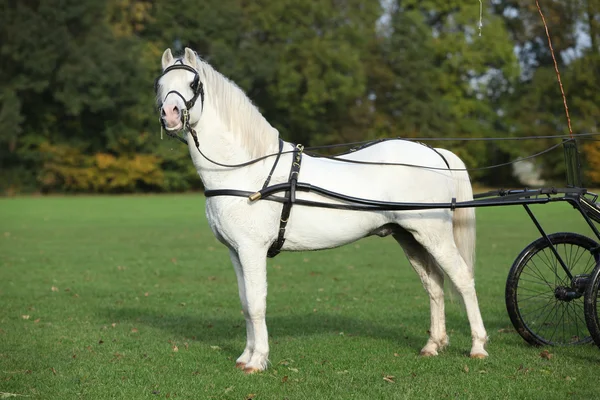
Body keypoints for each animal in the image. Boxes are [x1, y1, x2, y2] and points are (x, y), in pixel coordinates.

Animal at [156, 48, 488, 374]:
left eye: (193, 84)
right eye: (160, 85)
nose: (169, 114)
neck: (246, 171)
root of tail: (433, 153)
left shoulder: (252, 249)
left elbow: (257, 303)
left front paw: (257, 360)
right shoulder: (235, 252)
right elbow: (245, 303)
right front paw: (244, 356)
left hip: (435, 235)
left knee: (463, 279)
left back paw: (478, 346)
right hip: (409, 237)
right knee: (434, 284)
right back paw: (433, 345)